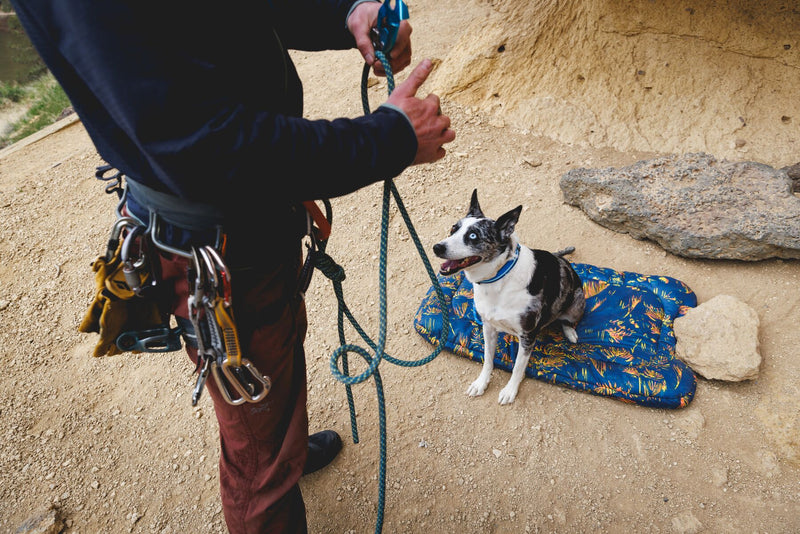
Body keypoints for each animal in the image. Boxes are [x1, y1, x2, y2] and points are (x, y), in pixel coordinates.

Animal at [434, 191, 584, 404]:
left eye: (473, 236)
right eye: (453, 229)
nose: (437, 247)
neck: (498, 277)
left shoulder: (527, 335)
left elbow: (518, 367)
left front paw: (510, 390)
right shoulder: (488, 327)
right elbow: (488, 359)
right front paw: (481, 382)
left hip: (576, 301)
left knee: (568, 320)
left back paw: (570, 332)